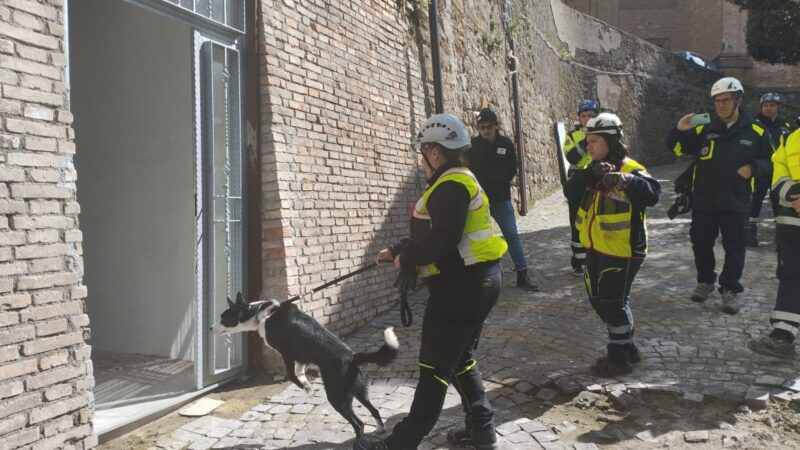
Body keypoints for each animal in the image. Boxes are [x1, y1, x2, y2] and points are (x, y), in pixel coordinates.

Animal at [212, 294, 400, 438]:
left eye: (223, 317)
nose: (210, 328)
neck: (262, 314)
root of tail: (352, 357)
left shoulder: (287, 353)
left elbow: (291, 374)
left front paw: (305, 387)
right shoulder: (300, 357)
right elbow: (299, 371)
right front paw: (307, 384)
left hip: (337, 397)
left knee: (359, 424)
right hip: (359, 392)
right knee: (374, 410)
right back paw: (381, 429)